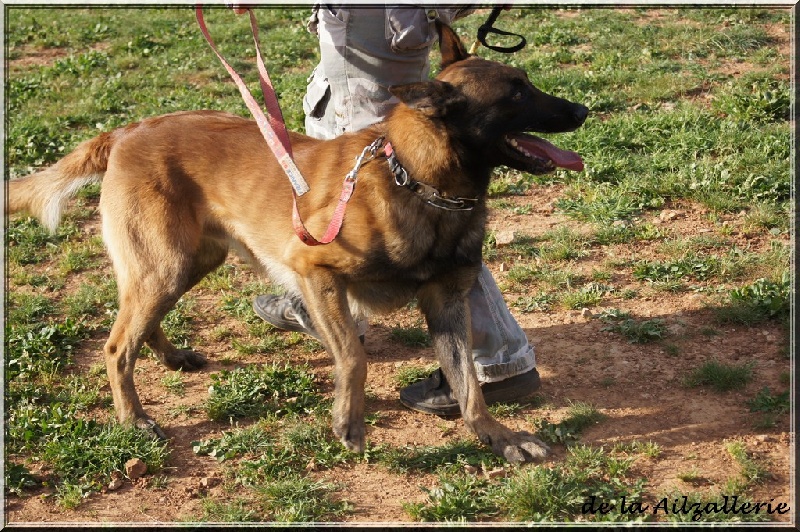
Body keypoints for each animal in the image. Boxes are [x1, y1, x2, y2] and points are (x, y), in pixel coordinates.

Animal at [7, 23, 588, 462]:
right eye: (517, 92)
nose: (582, 110)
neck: (418, 181)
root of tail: (126, 131)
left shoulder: (447, 303)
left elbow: (468, 383)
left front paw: (498, 438)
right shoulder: (315, 271)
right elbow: (353, 354)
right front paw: (349, 422)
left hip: (187, 262)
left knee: (140, 325)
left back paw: (171, 358)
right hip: (164, 265)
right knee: (115, 347)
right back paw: (134, 420)